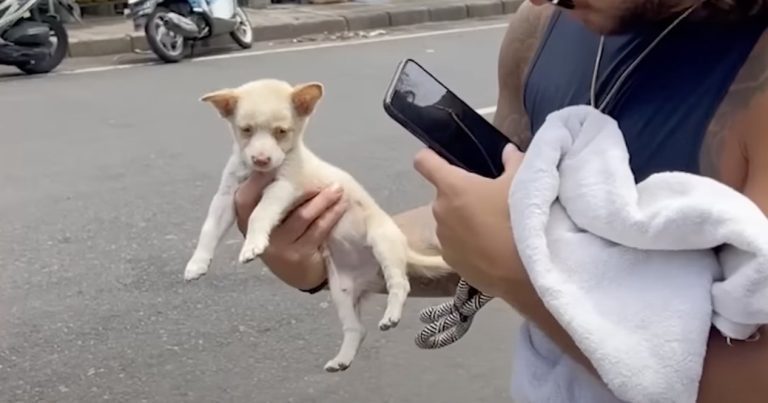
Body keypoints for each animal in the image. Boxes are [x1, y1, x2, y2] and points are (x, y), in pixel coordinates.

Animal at [184, 78, 450, 372]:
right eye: (246, 130)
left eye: (281, 132)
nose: (261, 160)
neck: (260, 173)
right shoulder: (226, 196)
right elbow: (209, 228)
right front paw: (197, 263)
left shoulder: (284, 188)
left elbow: (260, 213)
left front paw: (252, 244)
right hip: (340, 289)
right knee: (357, 329)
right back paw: (342, 359)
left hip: (383, 243)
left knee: (400, 284)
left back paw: (391, 314)